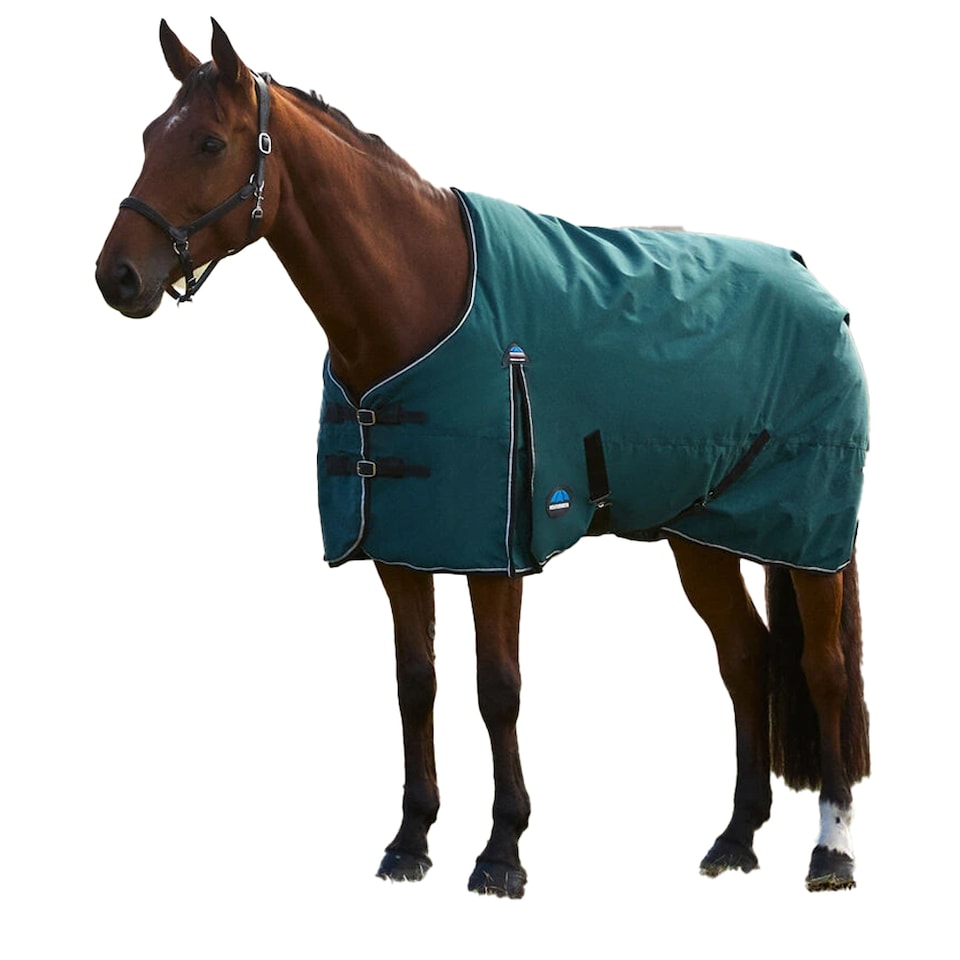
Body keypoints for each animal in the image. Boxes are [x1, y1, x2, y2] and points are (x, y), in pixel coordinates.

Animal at [96, 19, 870, 898]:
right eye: (148, 136)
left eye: (209, 142)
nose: (117, 276)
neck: (421, 301)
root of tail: (810, 280)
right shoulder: (401, 546)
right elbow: (416, 684)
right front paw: (410, 840)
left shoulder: (498, 550)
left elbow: (497, 689)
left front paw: (502, 851)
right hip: (700, 534)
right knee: (746, 657)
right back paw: (735, 836)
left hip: (807, 536)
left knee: (823, 668)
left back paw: (832, 850)